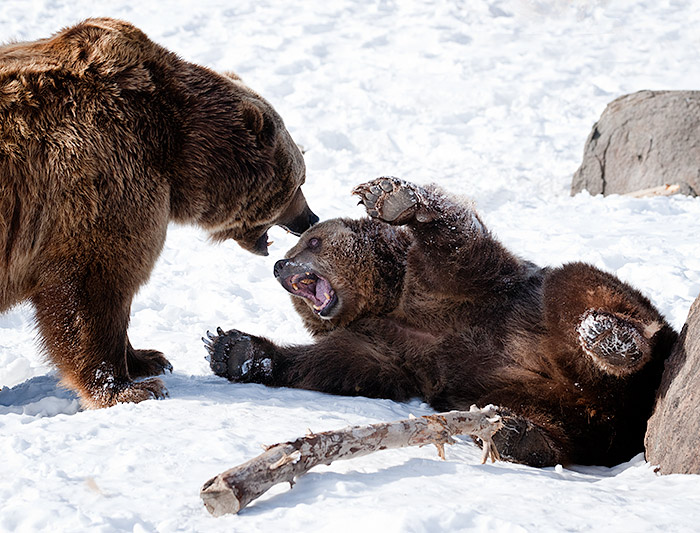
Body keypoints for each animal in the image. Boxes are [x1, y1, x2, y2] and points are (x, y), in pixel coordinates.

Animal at [0, 17, 318, 408]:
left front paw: (147, 358)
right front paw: (127, 387)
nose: (310, 218)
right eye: (300, 180)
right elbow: (92, 288)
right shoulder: (102, 178)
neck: (175, 148)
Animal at [206, 178, 680, 466]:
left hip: (578, 329)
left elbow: (458, 243)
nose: (280, 265)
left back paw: (610, 339)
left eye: (313, 241)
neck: (388, 301)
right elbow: (342, 365)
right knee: (548, 422)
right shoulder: (394, 349)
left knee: (579, 286)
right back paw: (516, 435)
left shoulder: (458, 289)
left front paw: (392, 198)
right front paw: (233, 349)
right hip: (536, 398)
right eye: (298, 245)